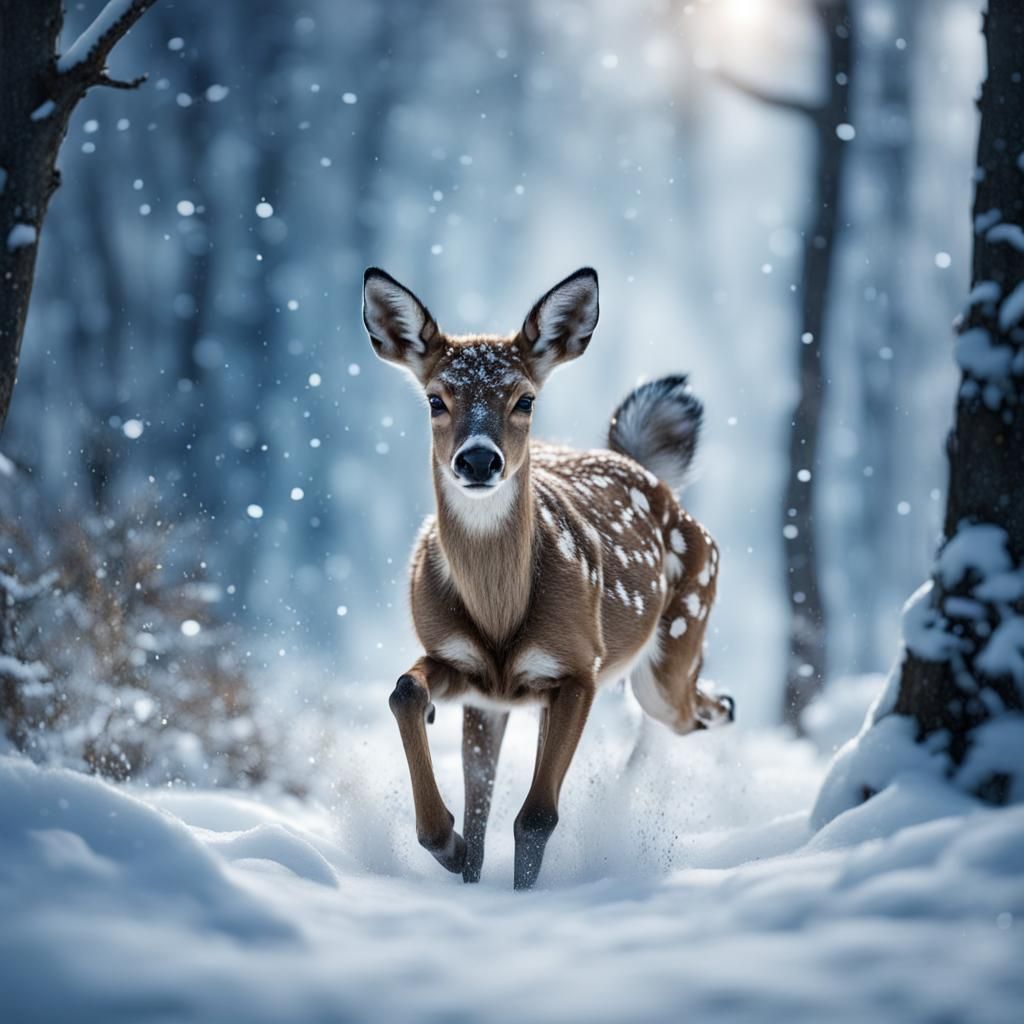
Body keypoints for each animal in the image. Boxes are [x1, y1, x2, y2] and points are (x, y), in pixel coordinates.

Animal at [362, 266, 734, 890]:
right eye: (436, 399)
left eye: (525, 399)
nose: (478, 460)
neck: (500, 617)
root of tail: (645, 470)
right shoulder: (462, 665)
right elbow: (407, 693)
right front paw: (450, 847)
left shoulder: (579, 665)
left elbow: (536, 816)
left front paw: (519, 894)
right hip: (510, 701)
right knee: (485, 797)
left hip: (673, 648)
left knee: (699, 707)